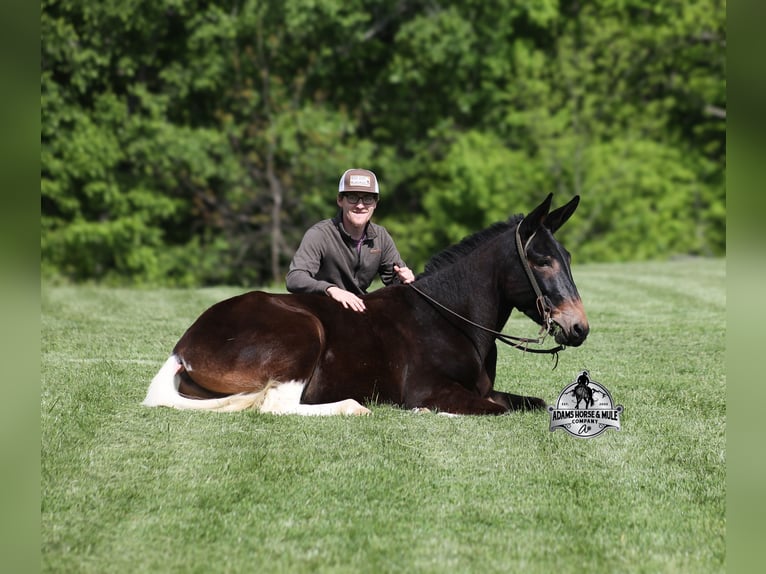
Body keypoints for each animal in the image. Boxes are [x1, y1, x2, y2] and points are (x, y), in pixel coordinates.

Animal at [143, 193, 589, 416]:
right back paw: (353, 407)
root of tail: (183, 347)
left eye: (566, 256)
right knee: (275, 406)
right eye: (541, 260)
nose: (579, 327)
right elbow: (495, 410)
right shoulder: (431, 389)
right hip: (302, 336)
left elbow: (533, 404)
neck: (449, 318)